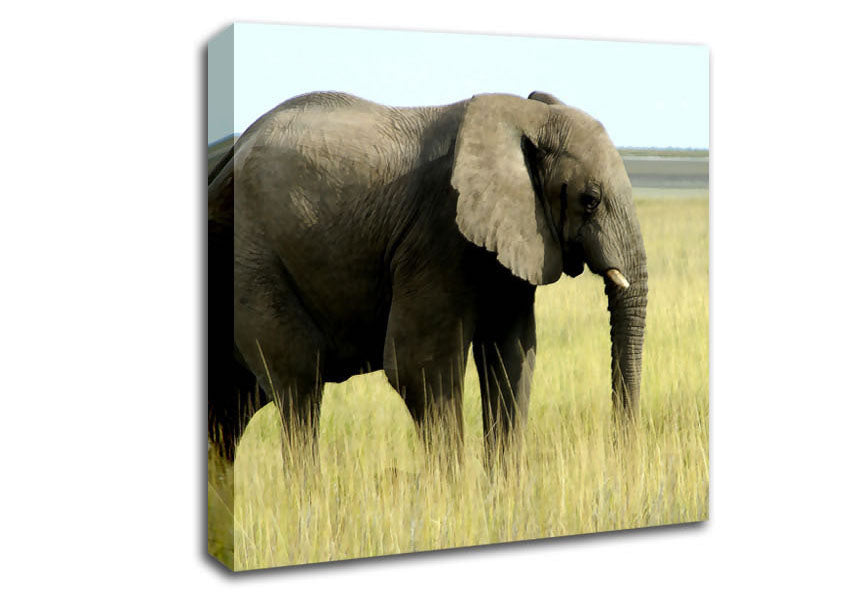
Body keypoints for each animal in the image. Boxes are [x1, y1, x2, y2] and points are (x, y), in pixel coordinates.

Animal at [207, 91, 647, 469]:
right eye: (589, 200)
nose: (618, 457)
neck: (524, 116)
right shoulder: (438, 231)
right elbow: (420, 368)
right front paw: (454, 499)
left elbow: (513, 356)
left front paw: (502, 499)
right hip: (255, 258)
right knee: (297, 385)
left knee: (232, 406)